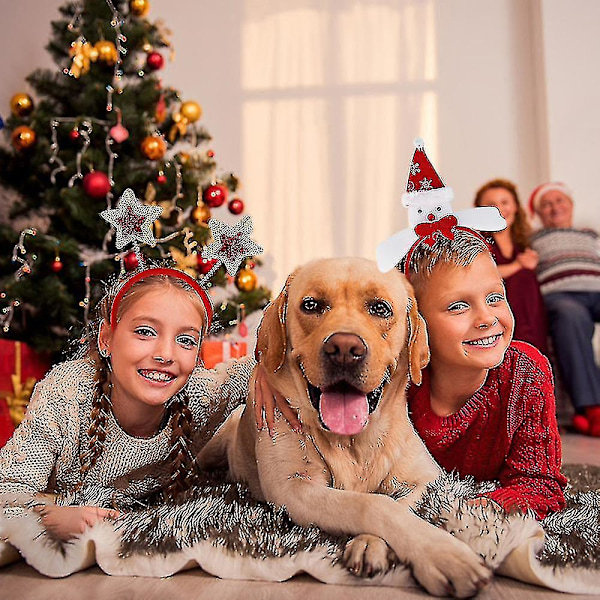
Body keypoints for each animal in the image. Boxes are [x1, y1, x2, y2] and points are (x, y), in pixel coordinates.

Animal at [199, 256, 490, 596]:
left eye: (380, 308)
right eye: (311, 305)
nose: (344, 349)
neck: (353, 442)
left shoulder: (428, 479)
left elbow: (399, 502)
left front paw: (371, 544)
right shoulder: (293, 487)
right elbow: (373, 504)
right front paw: (444, 554)